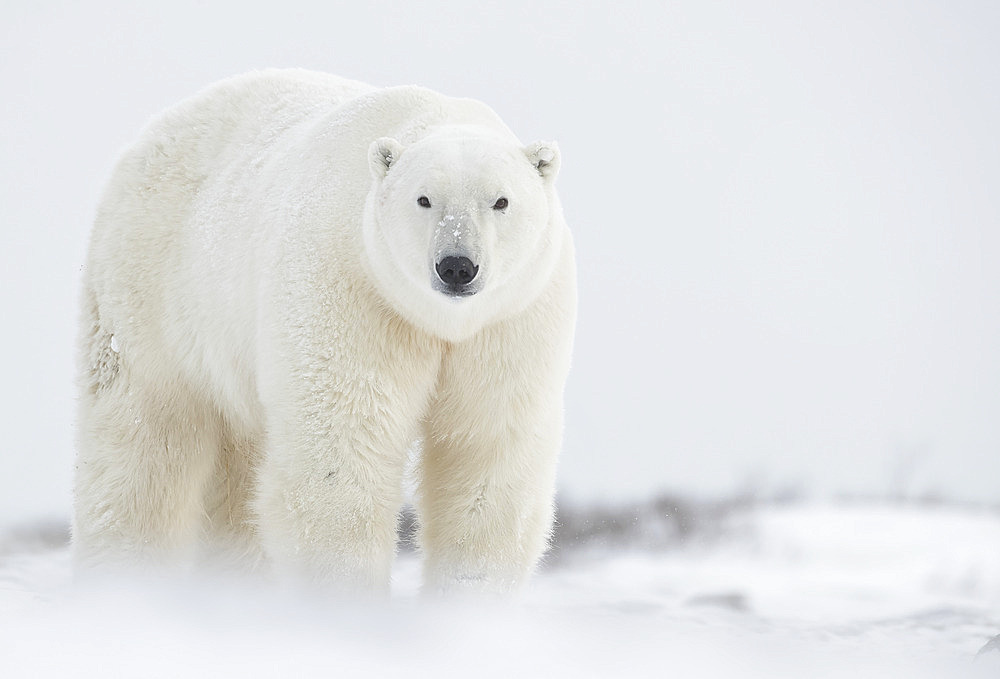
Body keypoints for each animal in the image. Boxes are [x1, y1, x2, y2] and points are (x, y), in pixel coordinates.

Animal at [74, 70, 580, 596]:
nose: (457, 266)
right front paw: (344, 603)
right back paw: (122, 578)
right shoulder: (350, 290)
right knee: (141, 441)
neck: (436, 321)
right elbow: (340, 451)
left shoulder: (511, 321)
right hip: (151, 288)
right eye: (424, 198)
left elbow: (488, 453)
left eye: (501, 201)